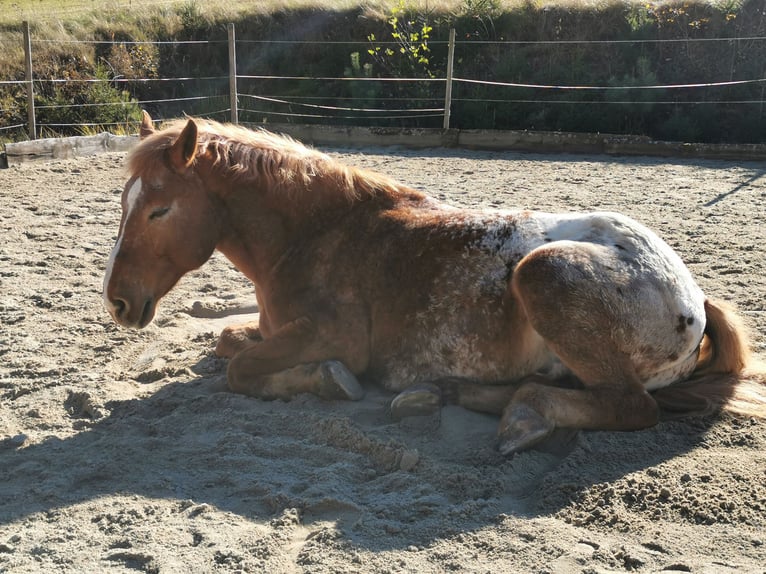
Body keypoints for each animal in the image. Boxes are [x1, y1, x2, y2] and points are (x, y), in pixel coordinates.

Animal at [103, 111, 766, 454]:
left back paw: (523, 418)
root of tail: (691, 297)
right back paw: (440, 394)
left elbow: (244, 370)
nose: (118, 301)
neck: (319, 232)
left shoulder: (334, 338)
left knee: (631, 407)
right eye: (123, 200)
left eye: (159, 210)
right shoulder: (271, 325)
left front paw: (327, 381)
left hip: (542, 270)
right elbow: (224, 343)